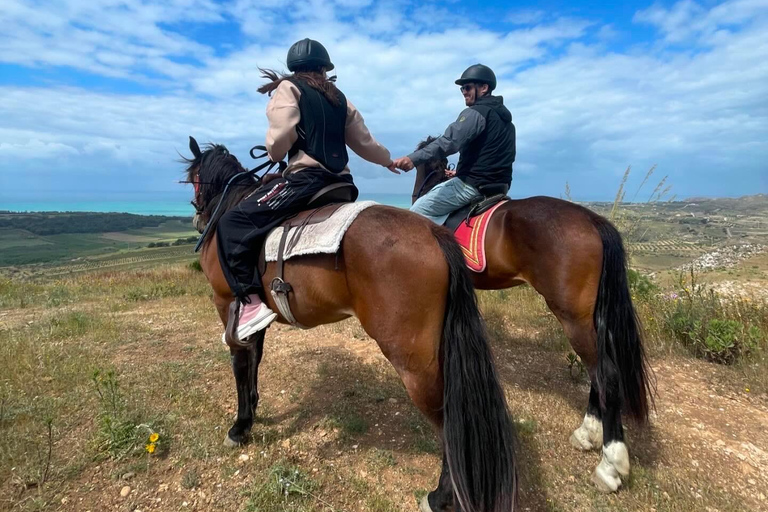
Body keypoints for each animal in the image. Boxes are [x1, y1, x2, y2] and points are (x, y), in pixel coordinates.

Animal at [183, 137, 517, 512]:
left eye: (194, 179)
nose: (197, 216)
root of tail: (433, 232)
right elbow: (254, 359)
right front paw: (252, 410)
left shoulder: (227, 303)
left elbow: (240, 364)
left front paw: (240, 427)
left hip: (412, 359)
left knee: (448, 418)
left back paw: (440, 495)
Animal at [411, 146, 655, 493]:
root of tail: (592, 219)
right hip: (589, 318)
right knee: (598, 372)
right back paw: (588, 434)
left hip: (573, 317)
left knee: (606, 374)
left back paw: (610, 466)